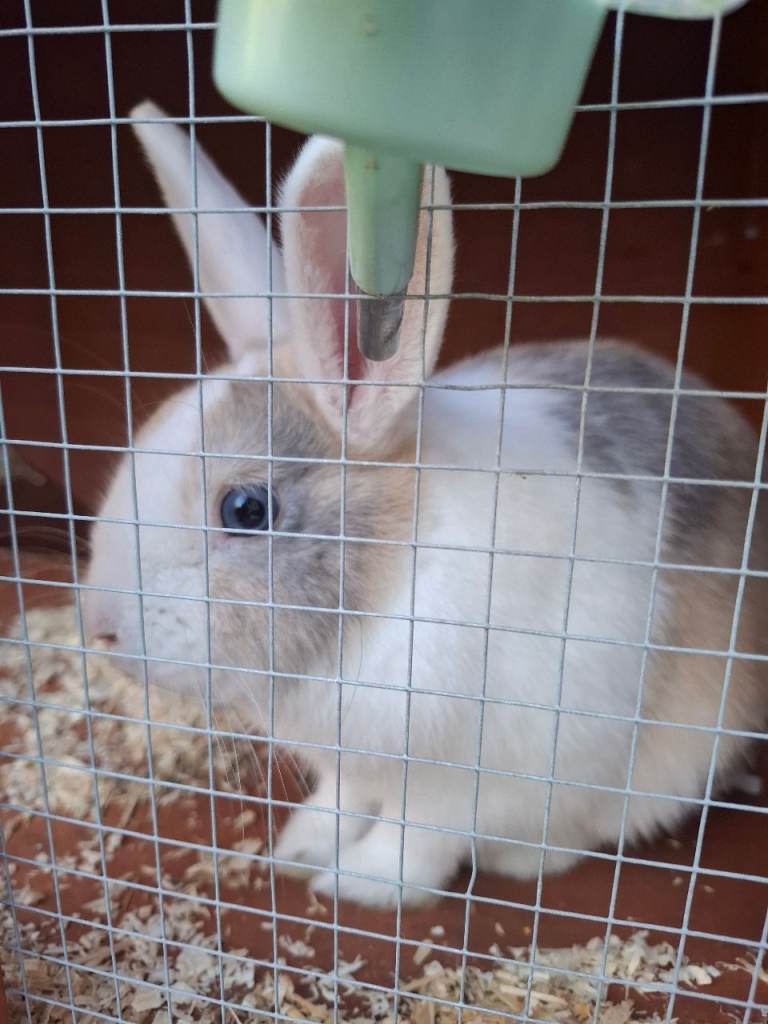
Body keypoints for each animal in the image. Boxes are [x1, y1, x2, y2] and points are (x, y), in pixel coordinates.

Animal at [83, 101, 767, 908]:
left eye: (246, 509)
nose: (97, 625)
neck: (389, 581)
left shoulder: (466, 780)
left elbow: (418, 841)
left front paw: (356, 886)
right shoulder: (351, 763)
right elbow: (341, 800)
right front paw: (300, 851)